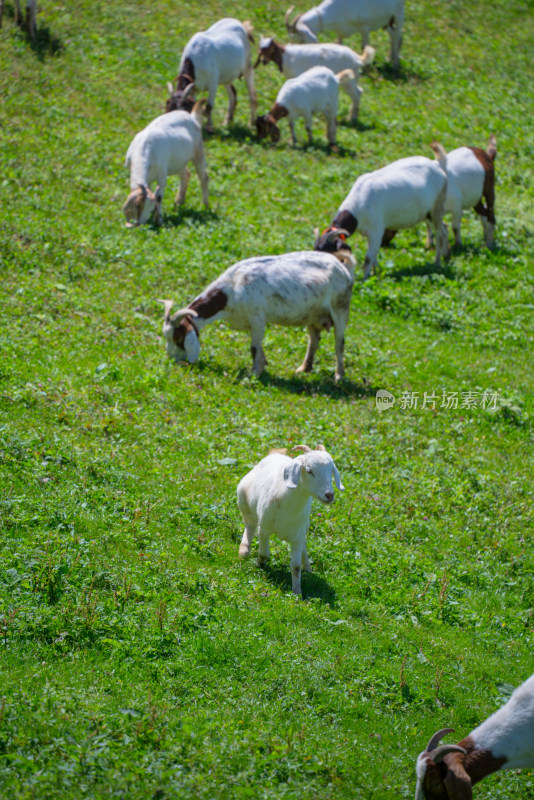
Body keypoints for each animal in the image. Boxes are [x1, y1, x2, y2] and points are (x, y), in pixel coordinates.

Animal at [123, 99, 209, 227]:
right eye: (138, 206)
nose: (141, 224)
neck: (144, 150)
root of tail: (192, 117)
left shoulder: (162, 175)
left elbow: (159, 196)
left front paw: (158, 221)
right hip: (178, 162)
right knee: (186, 174)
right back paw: (179, 202)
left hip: (198, 151)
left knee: (203, 177)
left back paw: (205, 206)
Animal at [161, 247, 358, 382]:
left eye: (178, 338)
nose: (172, 360)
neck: (232, 287)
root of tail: (344, 268)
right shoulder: (250, 322)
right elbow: (258, 346)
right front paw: (262, 367)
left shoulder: (257, 318)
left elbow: (253, 348)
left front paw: (253, 374)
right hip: (314, 316)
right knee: (314, 340)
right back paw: (304, 368)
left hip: (340, 309)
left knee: (339, 344)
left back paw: (339, 376)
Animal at [240, 444, 348, 592]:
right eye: (309, 470)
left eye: (331, 470)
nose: (329, 495)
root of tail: (275, 455)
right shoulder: (264, 529)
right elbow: (264, 554)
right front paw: (260, 565)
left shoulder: (298, 535)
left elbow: (296, 566)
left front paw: (297, 592)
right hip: (244, 502)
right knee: (250, 526)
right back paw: (244, 551)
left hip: (305, 526)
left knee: (304, 545)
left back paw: (307, 567)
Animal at [314, 144, 452, 278]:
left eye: (329, 252)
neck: (356, 210)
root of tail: (437, 165)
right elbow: (374, 255)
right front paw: (375, 273)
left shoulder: (376, 230)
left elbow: (368, 258)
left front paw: (365, 278)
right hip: (428, 213)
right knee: (444, 228)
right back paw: (446, 257)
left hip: (436, 208)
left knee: (440, 234)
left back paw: (438, 262)